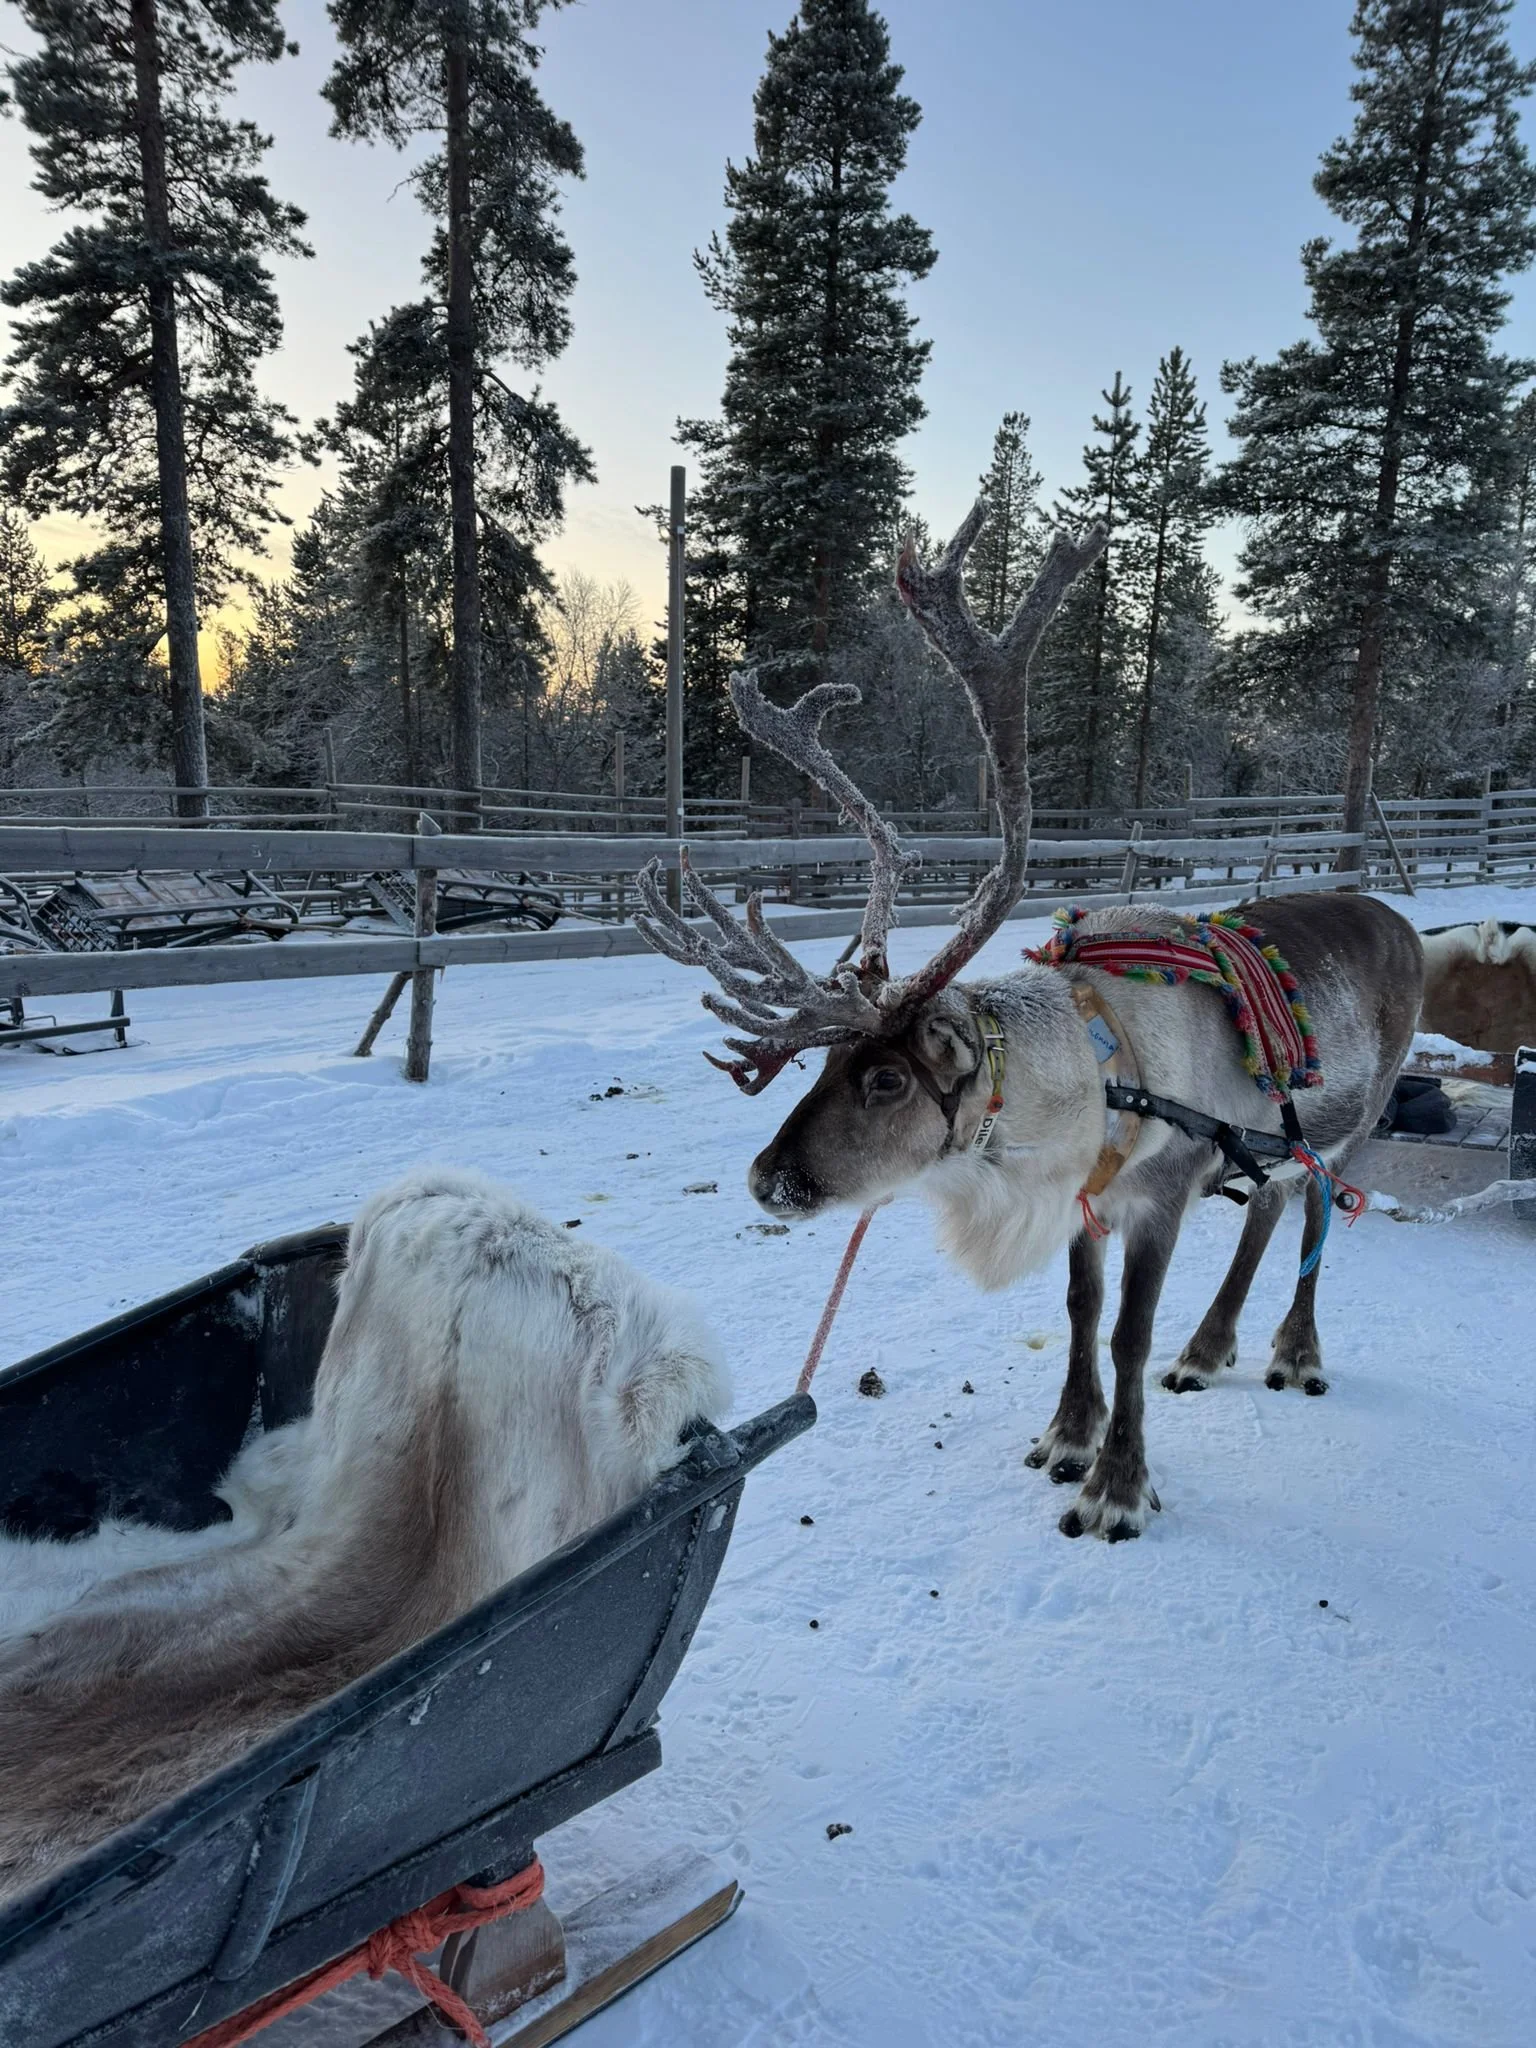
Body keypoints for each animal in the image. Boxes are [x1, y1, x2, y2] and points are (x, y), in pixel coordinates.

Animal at [634, 503, 1423, 1543]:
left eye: (885, 1078)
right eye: (822, 1066)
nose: (768, 1181)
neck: (1097, 1072)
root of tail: (1398, 916)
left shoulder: (1161, 1194)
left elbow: (1127, 1333)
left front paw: (1118, 1486)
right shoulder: (1083, 1198)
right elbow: (1082, 1310)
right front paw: (1066, 1438)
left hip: (1362, 1117)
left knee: (1314, 1208)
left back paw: (1293, 1352)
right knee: (1267, 1203)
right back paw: (1209, 1348)